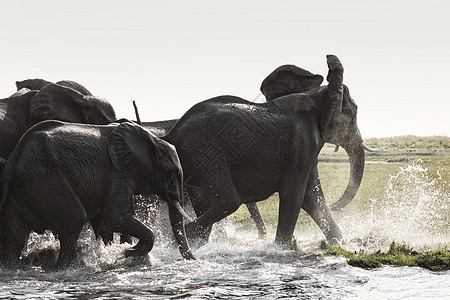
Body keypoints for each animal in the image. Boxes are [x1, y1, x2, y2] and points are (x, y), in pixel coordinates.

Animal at [0, 120, 194, 270]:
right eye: (170, 172)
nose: (193, 260)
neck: (153, 139)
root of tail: (12, 160)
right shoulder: (117, 174)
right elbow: (114, 217)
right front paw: (126, 252)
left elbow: (103, 224)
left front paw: (115, 252)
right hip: (46, 181)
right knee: (74, 220)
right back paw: (61, 269)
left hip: (24, 189)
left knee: (16, 236)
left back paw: (12, 267)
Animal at [162, 54, 372, 246]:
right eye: (352, 114)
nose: (335, 204)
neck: (316, 97)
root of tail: (173, 134)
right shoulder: (302, 142)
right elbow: (295, 193)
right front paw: (282, 248)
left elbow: (311, 196)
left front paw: (339, 243)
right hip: (206, 153)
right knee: (229, 200)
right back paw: (182, 236)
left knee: (206, 201)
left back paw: (197, 242)